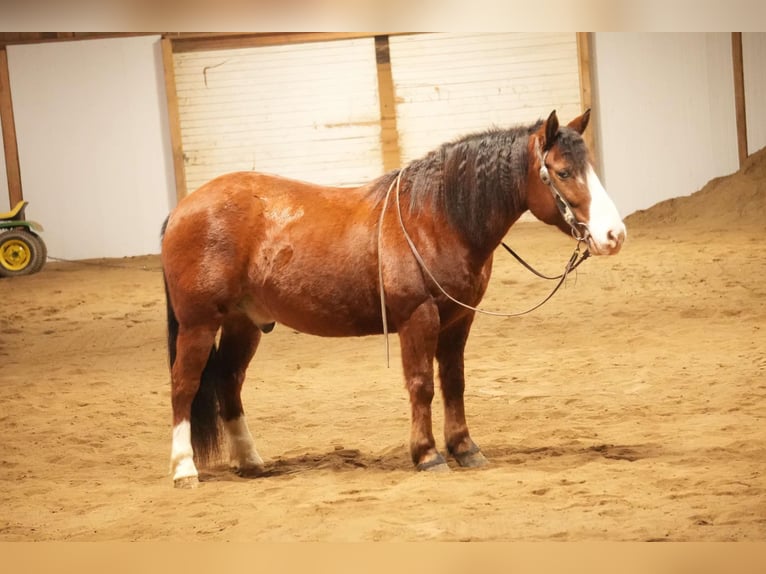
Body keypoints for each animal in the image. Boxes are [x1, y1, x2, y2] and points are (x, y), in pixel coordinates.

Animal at [160, 110, 624, 488]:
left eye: (590, 167)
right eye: (562, 172)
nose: (614, 235)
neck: (437, 218)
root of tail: (183, 207)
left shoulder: (459, 320)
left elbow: (453, 382)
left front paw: (465, 449)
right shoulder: (418, 317)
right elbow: (421, 384)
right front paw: (428, 455)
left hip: (244, 323)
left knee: (229, 381)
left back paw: (250, 461)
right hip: (199, 323)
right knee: (184, 384)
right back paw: (184, 469)